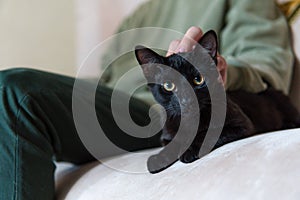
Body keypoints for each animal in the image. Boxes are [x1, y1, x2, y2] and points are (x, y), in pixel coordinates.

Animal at [134, 30, 300, 173]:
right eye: (168, 85)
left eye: (198, 79)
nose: (187, 99)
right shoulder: (166, 136)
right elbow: (174, 142)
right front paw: (159, 158)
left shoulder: (241, 124)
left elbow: (205, 133)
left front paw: (189, 151)